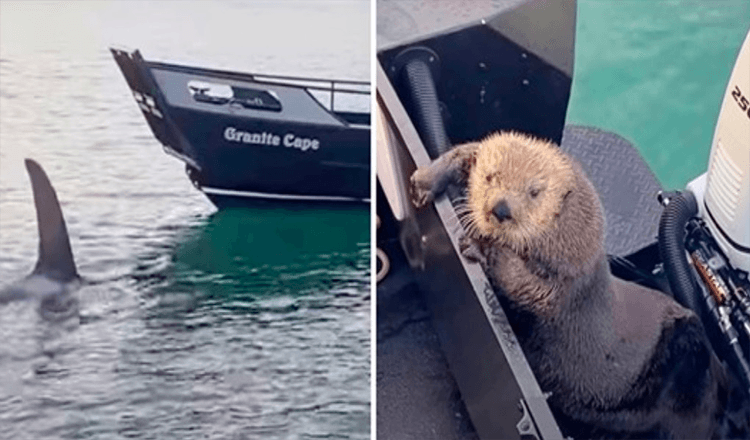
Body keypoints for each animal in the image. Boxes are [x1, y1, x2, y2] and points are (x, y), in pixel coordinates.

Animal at [412, 131, 728, 440]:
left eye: (534, 192)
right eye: (490, 177)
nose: (500, 210)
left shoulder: (562, 283)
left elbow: (524, 283)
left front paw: (480, 244)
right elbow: (465, 151)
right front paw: (425, 180)